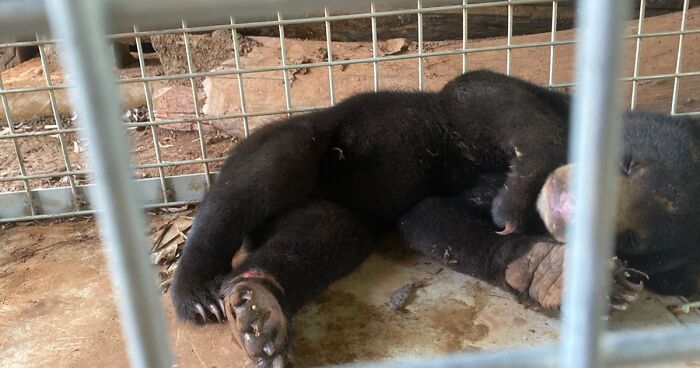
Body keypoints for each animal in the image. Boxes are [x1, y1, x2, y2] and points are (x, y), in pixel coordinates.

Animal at [170, 70, 700, 366]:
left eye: (631, 239)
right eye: (627, 164)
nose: (571, 208)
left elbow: (430, 219)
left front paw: (552, 271)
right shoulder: (528, 106)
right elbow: (480, 93)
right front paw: (517, 197)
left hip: (334, 217)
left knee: (320, 237)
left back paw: (259, 310)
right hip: (313, 137)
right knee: (261, 173)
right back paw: (197, 290)